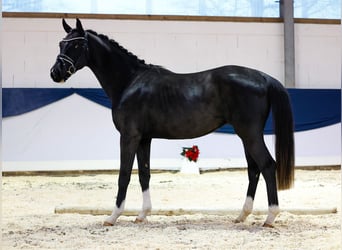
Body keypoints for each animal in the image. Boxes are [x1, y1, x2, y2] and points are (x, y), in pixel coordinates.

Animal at [50, 19, 294, 227]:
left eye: (77, 44)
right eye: (61, 43)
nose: (55, 73)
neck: (130, 81)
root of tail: (263, 77)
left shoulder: (129, 136)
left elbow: (124, 175)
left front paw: (113, 217)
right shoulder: (144, 139)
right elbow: (144, 174)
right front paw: (142, 215)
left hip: (250, 134)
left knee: (267, 166)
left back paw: (270, 218)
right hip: (246, 135)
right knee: (253, 169)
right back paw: (242, 216)